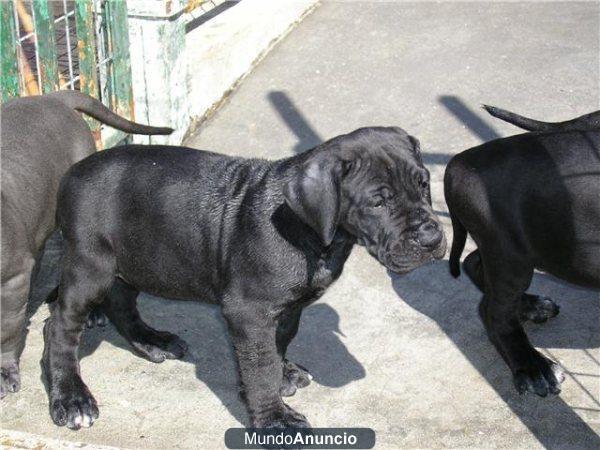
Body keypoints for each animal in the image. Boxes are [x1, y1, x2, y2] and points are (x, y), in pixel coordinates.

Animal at [43, 125, 446, 428]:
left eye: (424, 184)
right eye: (378, 202)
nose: (432, 238)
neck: (310, 230)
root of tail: (71, 173)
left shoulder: (287, 307)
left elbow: (276, 344)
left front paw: (281, 376)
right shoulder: (248, 310)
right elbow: (260, 363)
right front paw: (275, 419)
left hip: (134, 261)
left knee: (120, 301)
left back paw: (151, 341)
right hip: (90, 264)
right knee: (59, 326)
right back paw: (72, 398)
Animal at [446, 107, 600, 400]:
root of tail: (458, 163)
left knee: (473, 263)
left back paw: (531, 306)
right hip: (510, 255)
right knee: (493, 311)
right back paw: (534, 367)